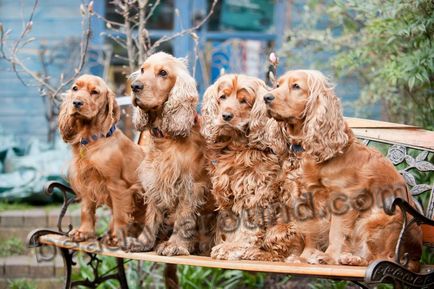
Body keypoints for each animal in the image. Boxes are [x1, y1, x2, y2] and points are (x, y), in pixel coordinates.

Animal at [57, 73, 147, 243]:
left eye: (95, 92)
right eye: (75, 88)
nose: (76, 102)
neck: (92, 140)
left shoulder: (117, 185)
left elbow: (119, 213)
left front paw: (117, 236)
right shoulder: (86, 182)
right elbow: (86, 209)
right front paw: (83, 232)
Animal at [126, 51, 214, 254]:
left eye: (163, 73)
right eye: (142, 69)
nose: (135, 86)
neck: (165, 138)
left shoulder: (191, 186)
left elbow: (184, 218)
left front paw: (175, 245)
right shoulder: (154, 180)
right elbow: (152, 215)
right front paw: (144, 242)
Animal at [262, 70, 422, 270]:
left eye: (296, 86)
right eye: (277, 85)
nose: (266, 97)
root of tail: (416, 258)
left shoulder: (344, 198)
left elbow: (336, 232)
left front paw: (328, 257)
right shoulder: (308, 197)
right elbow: (310, 232)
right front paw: (304, 257)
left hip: (380, 217)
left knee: (383, 257)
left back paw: (352, 259)